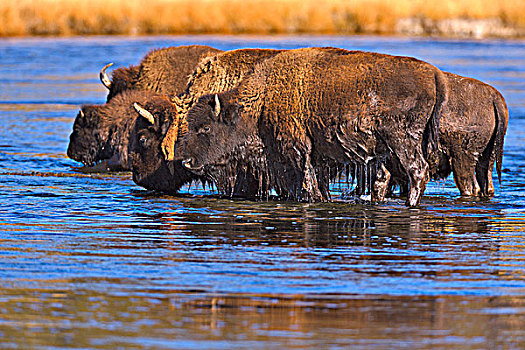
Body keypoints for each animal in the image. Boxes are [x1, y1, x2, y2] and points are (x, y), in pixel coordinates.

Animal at [179, 49, 446, 208]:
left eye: (205, 128)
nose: (187, 162)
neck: (262, 102)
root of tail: (434, 74)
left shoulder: (296, 152)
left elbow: (307, 183)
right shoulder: (317, 158)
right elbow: (318, 183)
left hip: (402, 141)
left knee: (417, 170)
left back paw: (411, 205)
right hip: (384, 148)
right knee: (383, 177)